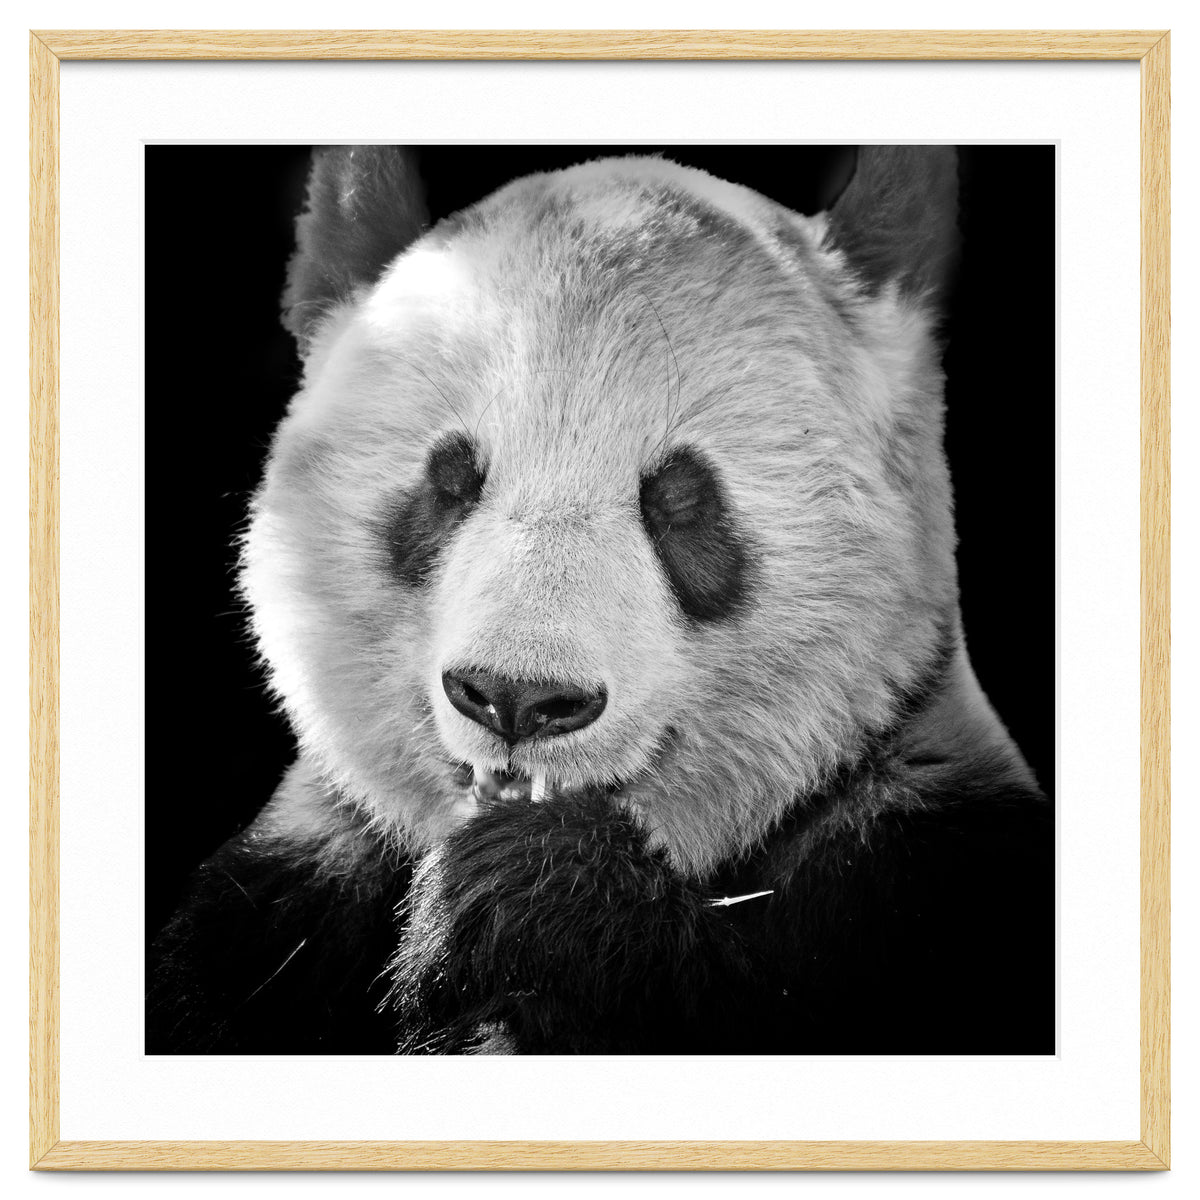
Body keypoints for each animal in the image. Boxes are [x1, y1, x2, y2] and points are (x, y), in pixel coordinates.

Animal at [147, 146, 1053, 1055]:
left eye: (681, 500)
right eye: (449, 481)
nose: (517, 697)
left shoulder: (922, 869)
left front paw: (534, 895)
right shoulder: (279, 904)